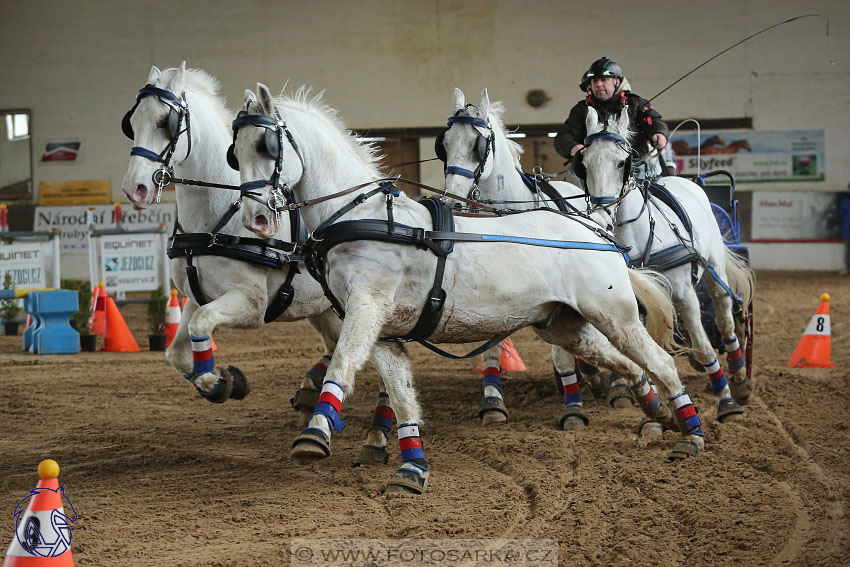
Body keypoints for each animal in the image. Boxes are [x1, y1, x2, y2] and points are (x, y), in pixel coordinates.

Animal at [234, 82, 708, 494]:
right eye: (234, 152)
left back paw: (691, 433)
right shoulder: (384, 332)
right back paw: (653, 409)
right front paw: (411, 469)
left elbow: (342, 362)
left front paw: (315, 433)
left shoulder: (366, 307)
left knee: (662, 363)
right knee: (627, 365)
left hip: (615, 315)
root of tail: (600, 232)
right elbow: (402, 399)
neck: (363, 217)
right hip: (565, 326)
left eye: (266, 146)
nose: (255, 219)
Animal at [576, 105, 756, 418]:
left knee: (725, 317)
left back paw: (738, 377)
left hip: (713, 269)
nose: (601, 215)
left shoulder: (684, 294)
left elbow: (704, 348)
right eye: (584, 164)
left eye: (622, 162)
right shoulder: (635, 303)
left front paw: (726, 400)